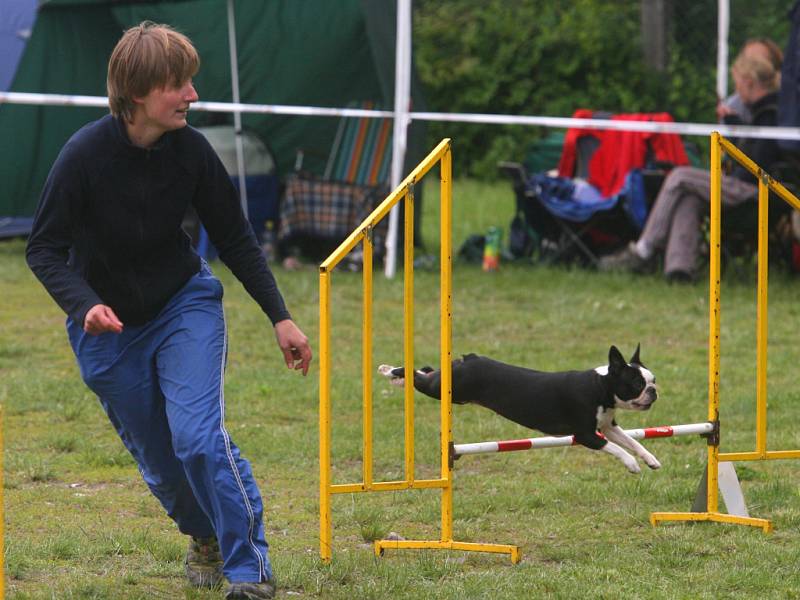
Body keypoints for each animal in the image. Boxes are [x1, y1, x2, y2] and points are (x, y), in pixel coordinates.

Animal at [378, 346, 660, 474]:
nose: (654, 390)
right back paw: (390, 371)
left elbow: (633, 442)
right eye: (637, 384)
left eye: (653, 379)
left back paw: (396, 376)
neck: (601, 386)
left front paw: (650, 459)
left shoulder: (607, 427)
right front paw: (632, 464)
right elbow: (616, 448)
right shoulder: (586, 435)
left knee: (426, 370)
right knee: (420, 377)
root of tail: (470, 358)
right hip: (448, 390)